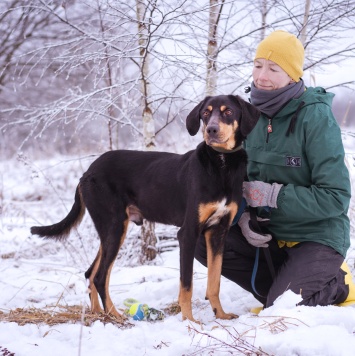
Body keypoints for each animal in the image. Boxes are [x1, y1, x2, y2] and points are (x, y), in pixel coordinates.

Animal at [30, 95, 260, 322]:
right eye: (205, 113)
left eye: (228, 111)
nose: (211, 130)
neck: (221, 164)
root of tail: (87, 173)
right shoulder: (188, 233)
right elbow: (186, 285)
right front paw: (189, 321)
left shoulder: (218, 232)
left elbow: (214, 282)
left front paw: (221, 315)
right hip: (114, 226)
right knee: (100, 276)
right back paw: (115, 315)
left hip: (110, 230)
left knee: (91, 273)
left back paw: (98, 313)